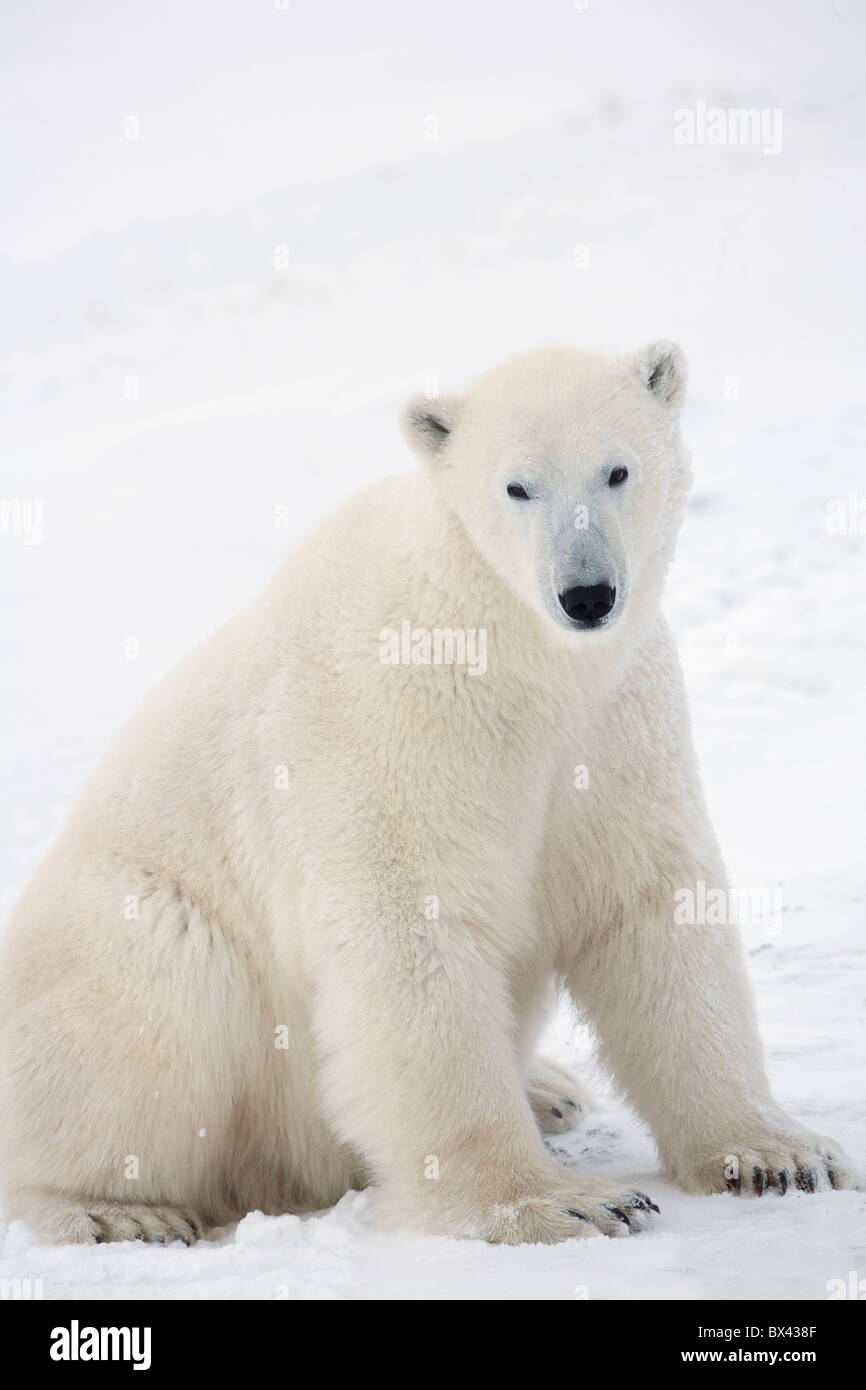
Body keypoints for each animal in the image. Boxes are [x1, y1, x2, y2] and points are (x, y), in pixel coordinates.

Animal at [0, 339, 856, 1251]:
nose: (586, 595)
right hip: (127, 936)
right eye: (517, 486)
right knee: (152, 996)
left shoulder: (616, 723)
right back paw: (113, 1207)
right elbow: (411, 929)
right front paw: (560, 1202)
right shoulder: (397, 726)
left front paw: (777, 1155)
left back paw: (551, 1089)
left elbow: (649, 905)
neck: (512, 649)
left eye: (617, 469)